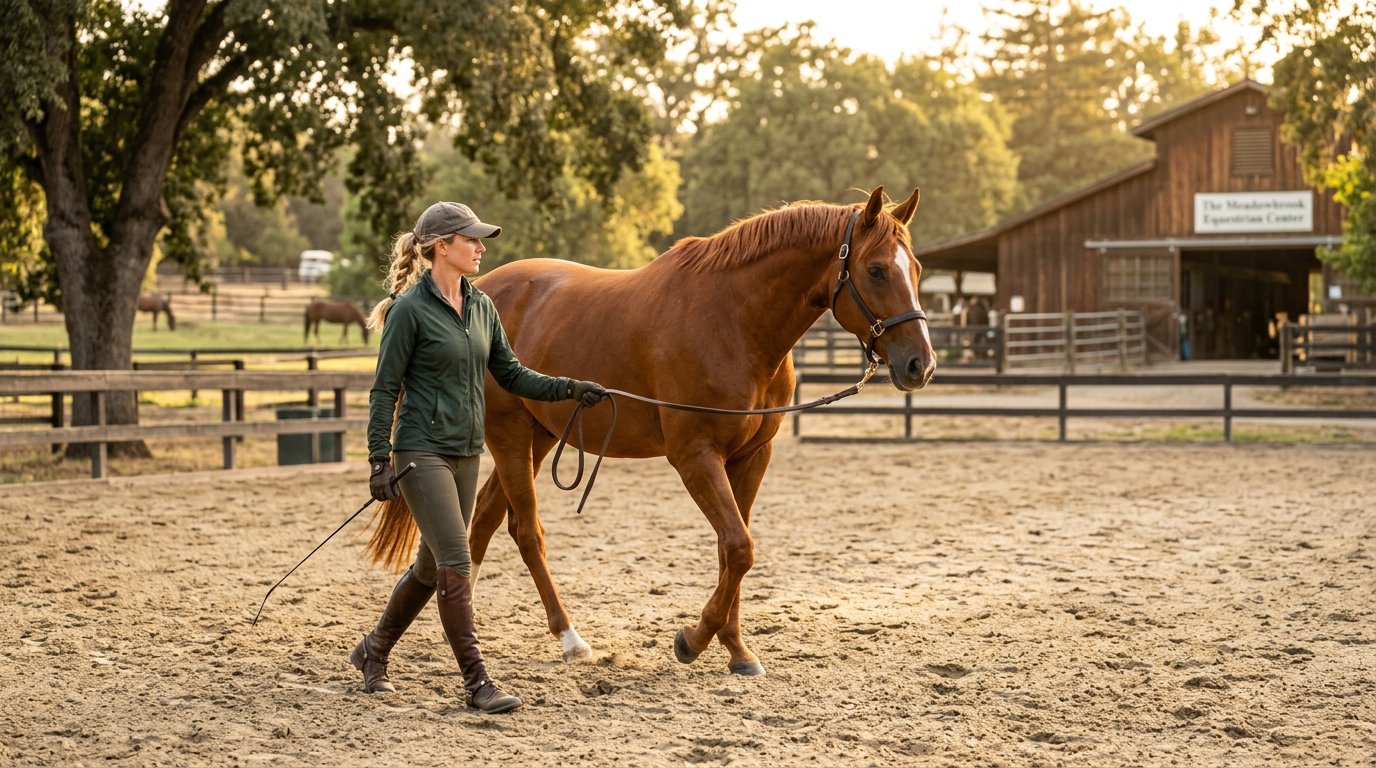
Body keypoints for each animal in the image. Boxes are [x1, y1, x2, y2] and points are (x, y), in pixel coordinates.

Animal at [365, 186, 935, 677]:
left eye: (917, 269)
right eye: (876, 270)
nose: (920, 365)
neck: (734, 321)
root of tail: (484, 288)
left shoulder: (752, 458)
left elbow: (734, 552)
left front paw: (736, 650)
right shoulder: (695, 456)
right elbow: (739, 546)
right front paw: (693, 640)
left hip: (541, 437)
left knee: (481, 521)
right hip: (509, 437)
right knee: (525, 532)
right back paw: (570, 638)